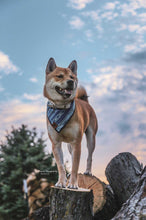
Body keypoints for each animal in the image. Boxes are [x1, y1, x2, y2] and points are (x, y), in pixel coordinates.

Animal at [43, 57, 98, 188]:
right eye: (60, 76)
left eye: (72, 77)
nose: (71, 82)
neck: (61, 108)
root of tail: (85, 102)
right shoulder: (56, 144)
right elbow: (61, 166)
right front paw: (61, 182)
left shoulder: (77, 142)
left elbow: (75, 166)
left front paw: (73, 184)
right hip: (69, 145)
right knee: (73, 158)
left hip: (91, 138)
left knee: (89, 156)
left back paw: (88, 171)